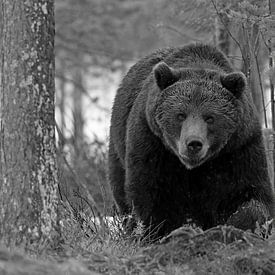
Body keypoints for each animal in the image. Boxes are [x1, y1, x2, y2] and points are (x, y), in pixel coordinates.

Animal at [109, 43, 274, 239]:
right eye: (181, 115)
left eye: (210, 117)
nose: (193, 143)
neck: (194, 168)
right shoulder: (152, 144)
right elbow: (152, 195)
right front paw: (165, 231)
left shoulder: (239, 148)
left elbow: (250, 194)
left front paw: (238, 225)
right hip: (118, 147)